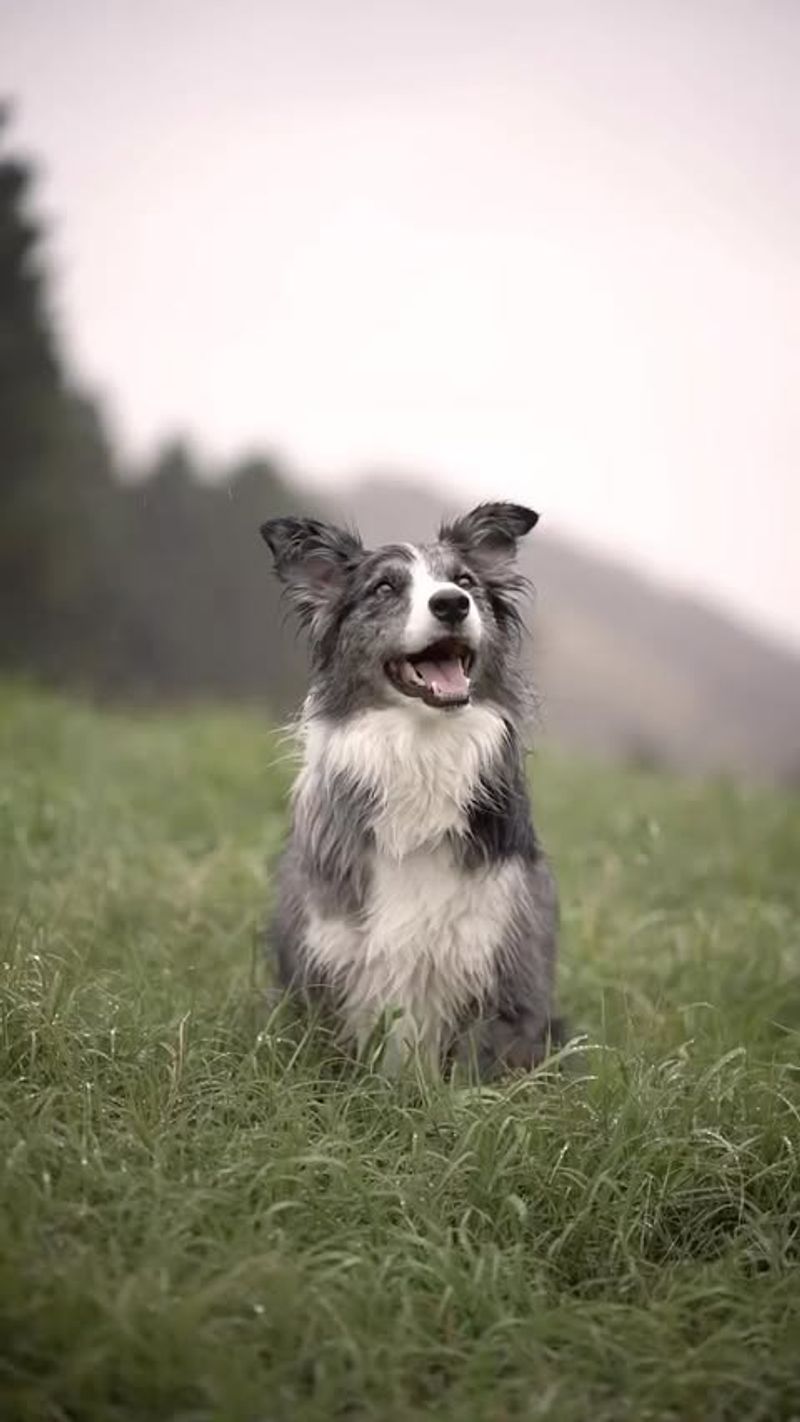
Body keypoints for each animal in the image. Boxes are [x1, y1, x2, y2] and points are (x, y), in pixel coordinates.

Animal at [260, 503, 559, 1075]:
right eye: (384, 588)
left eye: (465, 582)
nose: (452, 604)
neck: (422, 751)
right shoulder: (326, 957)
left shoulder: (498, 972)